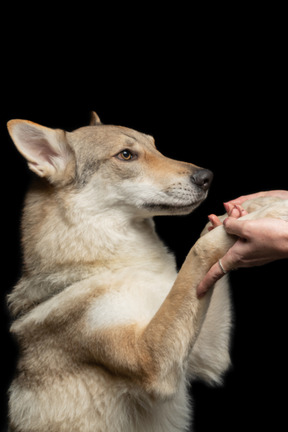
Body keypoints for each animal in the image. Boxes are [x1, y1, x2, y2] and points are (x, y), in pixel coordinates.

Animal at [6, 113, 288, 430]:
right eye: (126, 155)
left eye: (155, 146)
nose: (207, 177)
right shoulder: (151, 360)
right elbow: (200, 248)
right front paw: (270, 214)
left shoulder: (206, 354)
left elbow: (210, 228)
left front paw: (260, 204)